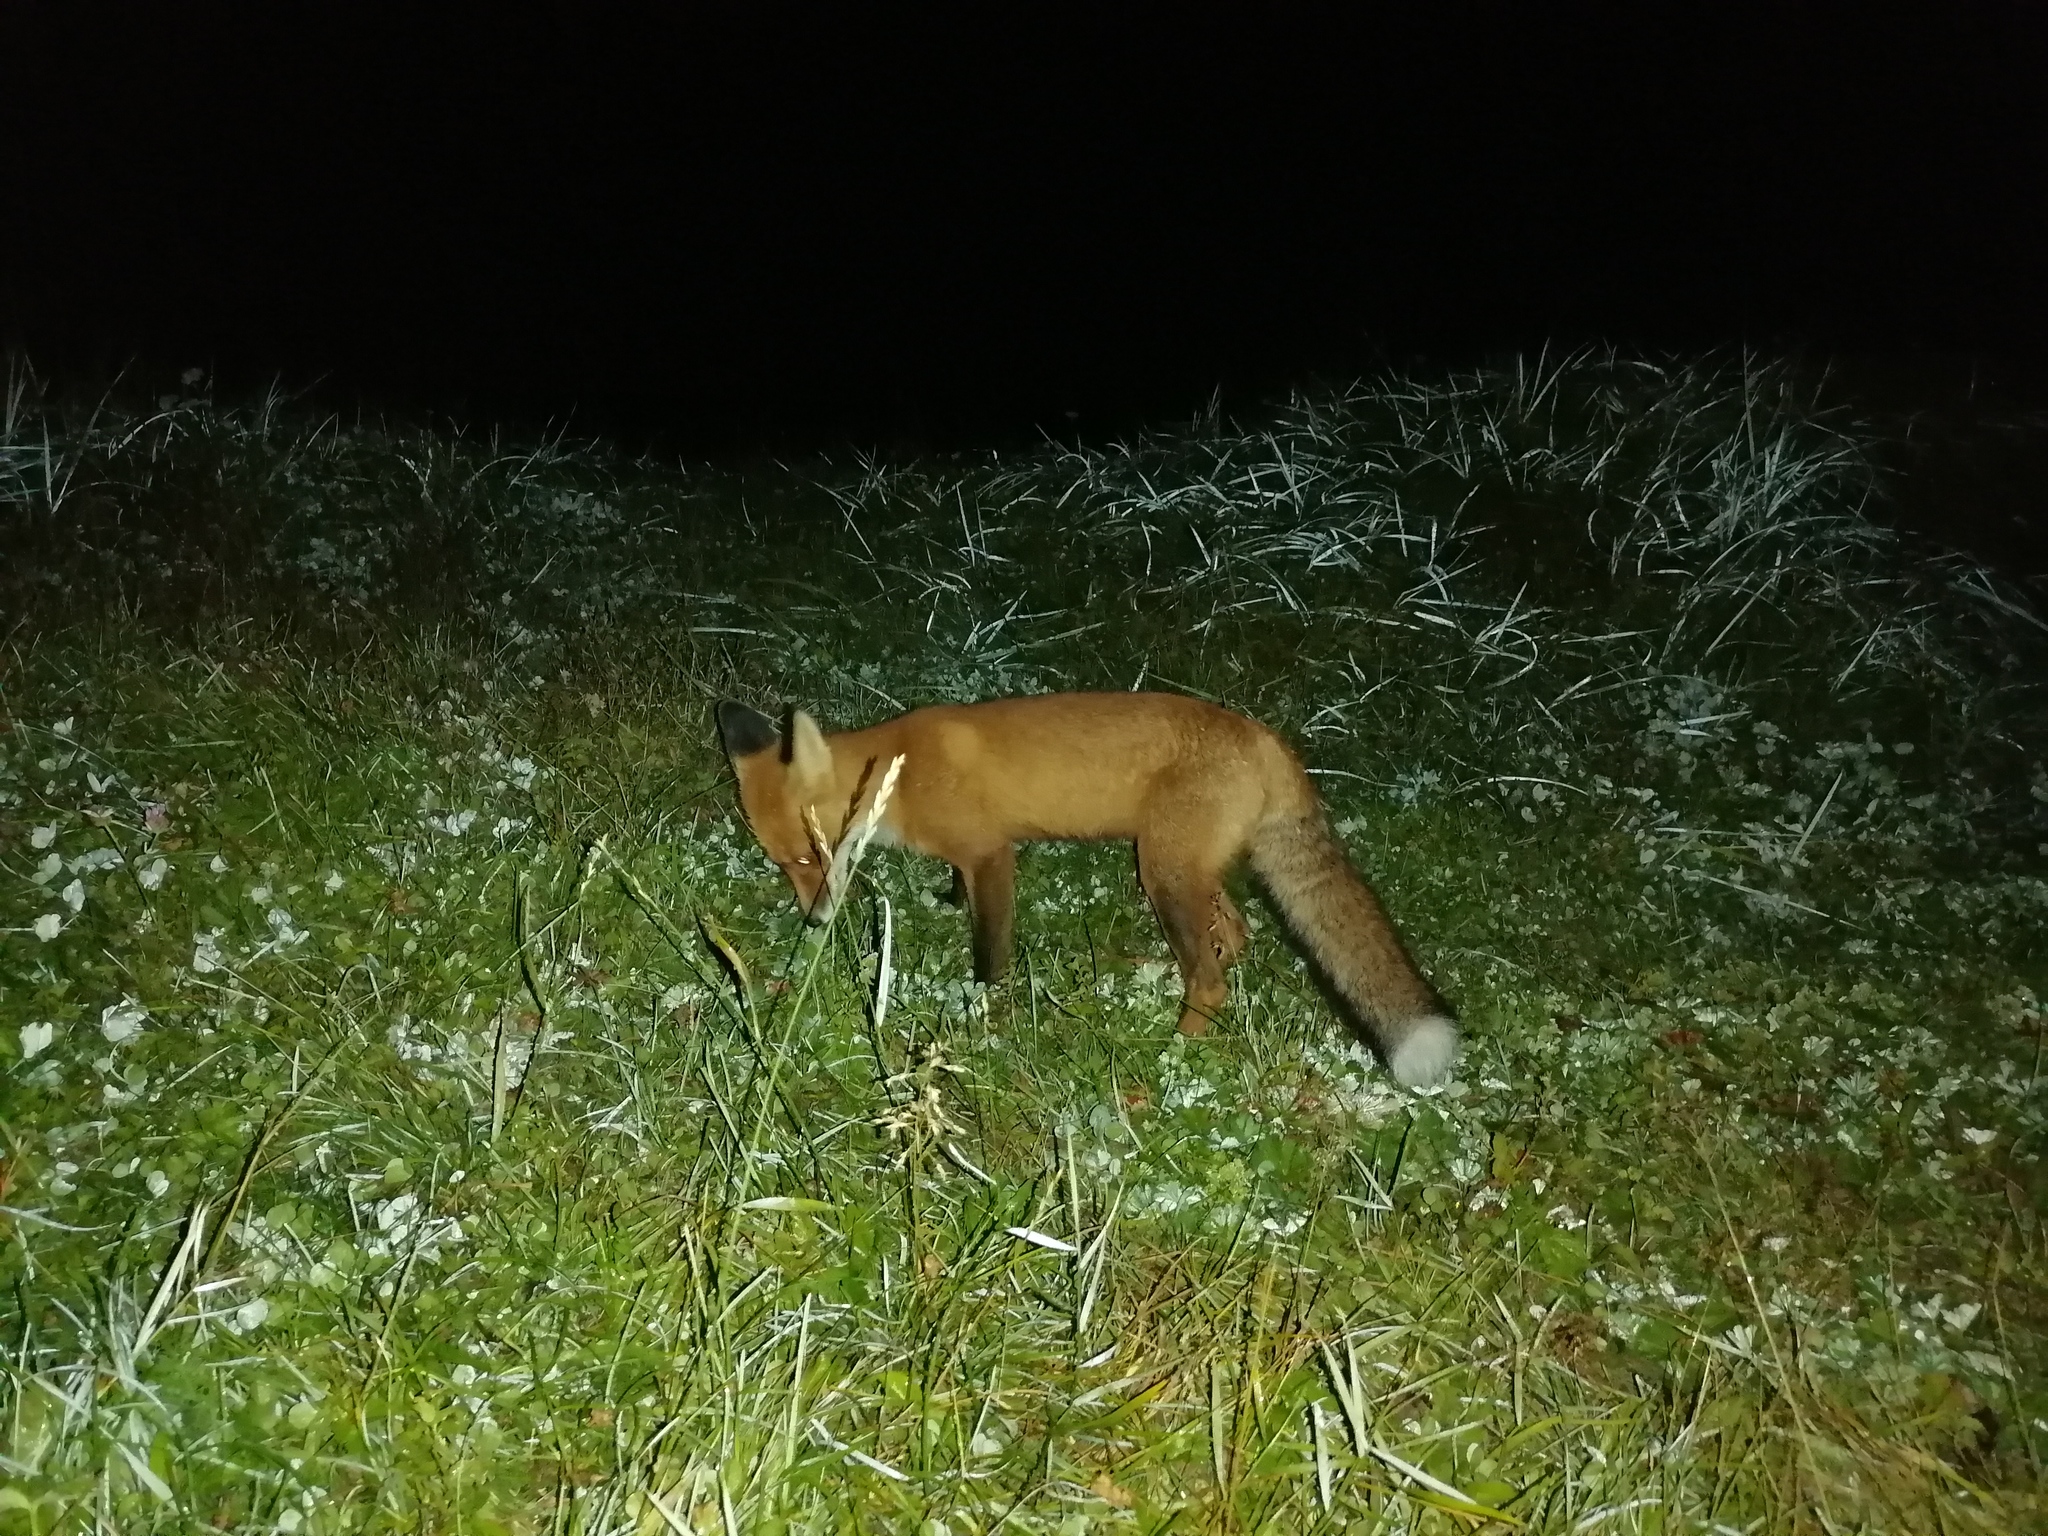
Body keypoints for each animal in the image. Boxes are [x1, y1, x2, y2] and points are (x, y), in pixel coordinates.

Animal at [720, 692, 1458, 1089]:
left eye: (811, 856)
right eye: (784, 865)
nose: (814, 921)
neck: (896, 773)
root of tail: (1266, 737)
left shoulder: (992, 855)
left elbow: (989, 951)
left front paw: (981, 1008)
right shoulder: (969, 856)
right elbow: (958, 891)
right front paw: (946, 902)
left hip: (1161, 872)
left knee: (1211, 977)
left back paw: (1177, 1049)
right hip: (1182, 870)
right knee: (1234, 935)